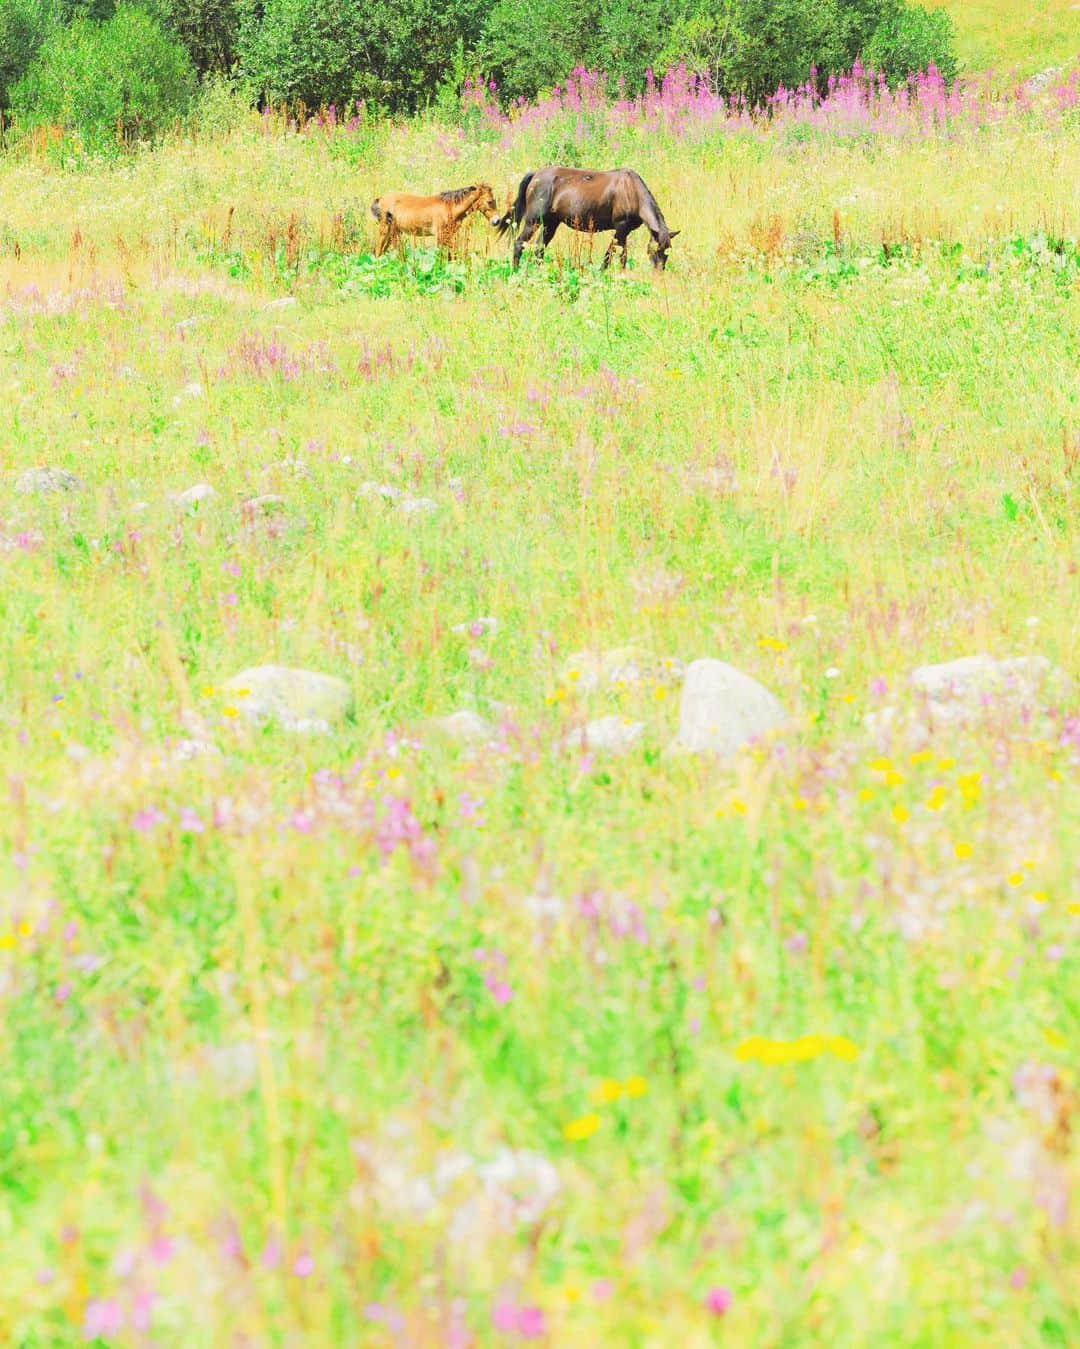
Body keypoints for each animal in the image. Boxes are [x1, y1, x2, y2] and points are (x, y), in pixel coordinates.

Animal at [369, 184, 501, 257]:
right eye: (490, 201)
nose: (497, 221)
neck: (449, 207)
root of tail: (380, 199)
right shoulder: (440, 235)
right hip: (384, 231)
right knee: (377, 252)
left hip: (394, 233)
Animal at [497, 167, 679, 271]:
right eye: (655, 250)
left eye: (667, 252)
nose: (658, 274)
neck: (632, 191)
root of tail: (535, 175)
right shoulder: (621, 228)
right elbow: (617, 254)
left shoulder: (623, 231)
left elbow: (613, 254)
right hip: (533, 221)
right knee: (519, 243)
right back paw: (515, 271)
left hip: (550, 223)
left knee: (539, 248)